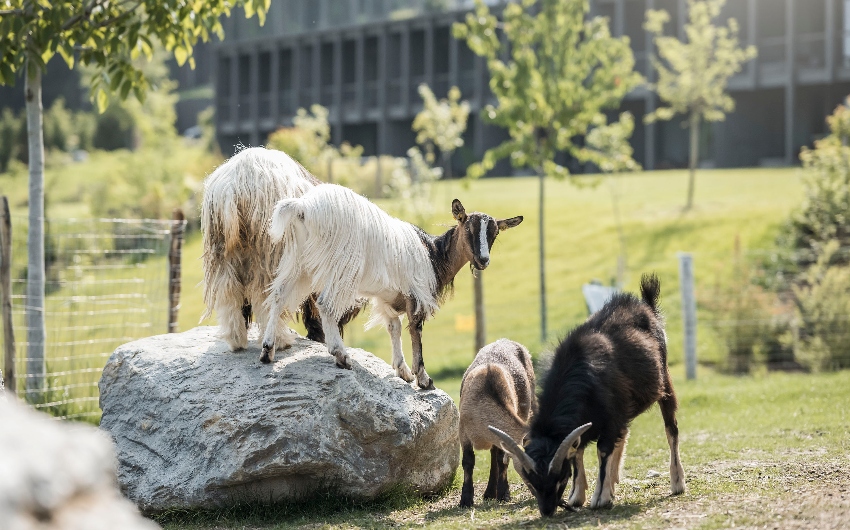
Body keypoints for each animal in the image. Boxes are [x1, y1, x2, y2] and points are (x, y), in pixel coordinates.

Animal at [200, 147, 359, 351]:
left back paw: (236, 339)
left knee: (228, 293)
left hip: (223, 251)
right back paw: (280, 339)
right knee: (267, 298)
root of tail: (236, 185)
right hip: (271, 254)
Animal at [262, 184, 523, 389]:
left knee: (278, 295)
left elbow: (394, 328)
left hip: (297, 260)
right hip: (341, 265)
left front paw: (403, 370)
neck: (434, 255)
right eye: (468, 228)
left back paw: (267, 350)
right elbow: (415, 331)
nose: (483, 260)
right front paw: (424, 379)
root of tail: (303, 206)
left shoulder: (388, 299)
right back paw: (341, 355)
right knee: (325, 304)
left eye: (495, 234)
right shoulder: (416, 294)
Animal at [459, 339, 536, 507]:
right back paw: (488, 493)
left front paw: (504, 494)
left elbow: (502, 460)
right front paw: (465, 499)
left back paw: (490, 492)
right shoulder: (463, 432)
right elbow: (468, 461)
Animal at [489, 273, 685, 516]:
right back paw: (614, 480)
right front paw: (578, 496)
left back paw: (677, 482)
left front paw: (600, 497)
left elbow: (603, 450)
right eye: (531, 481)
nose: (547, 510)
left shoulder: (610, 416)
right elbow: (578, 452)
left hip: (664, 381)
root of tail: (645, 304)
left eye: (559, 477)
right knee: (624, 434)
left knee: (671, 428)